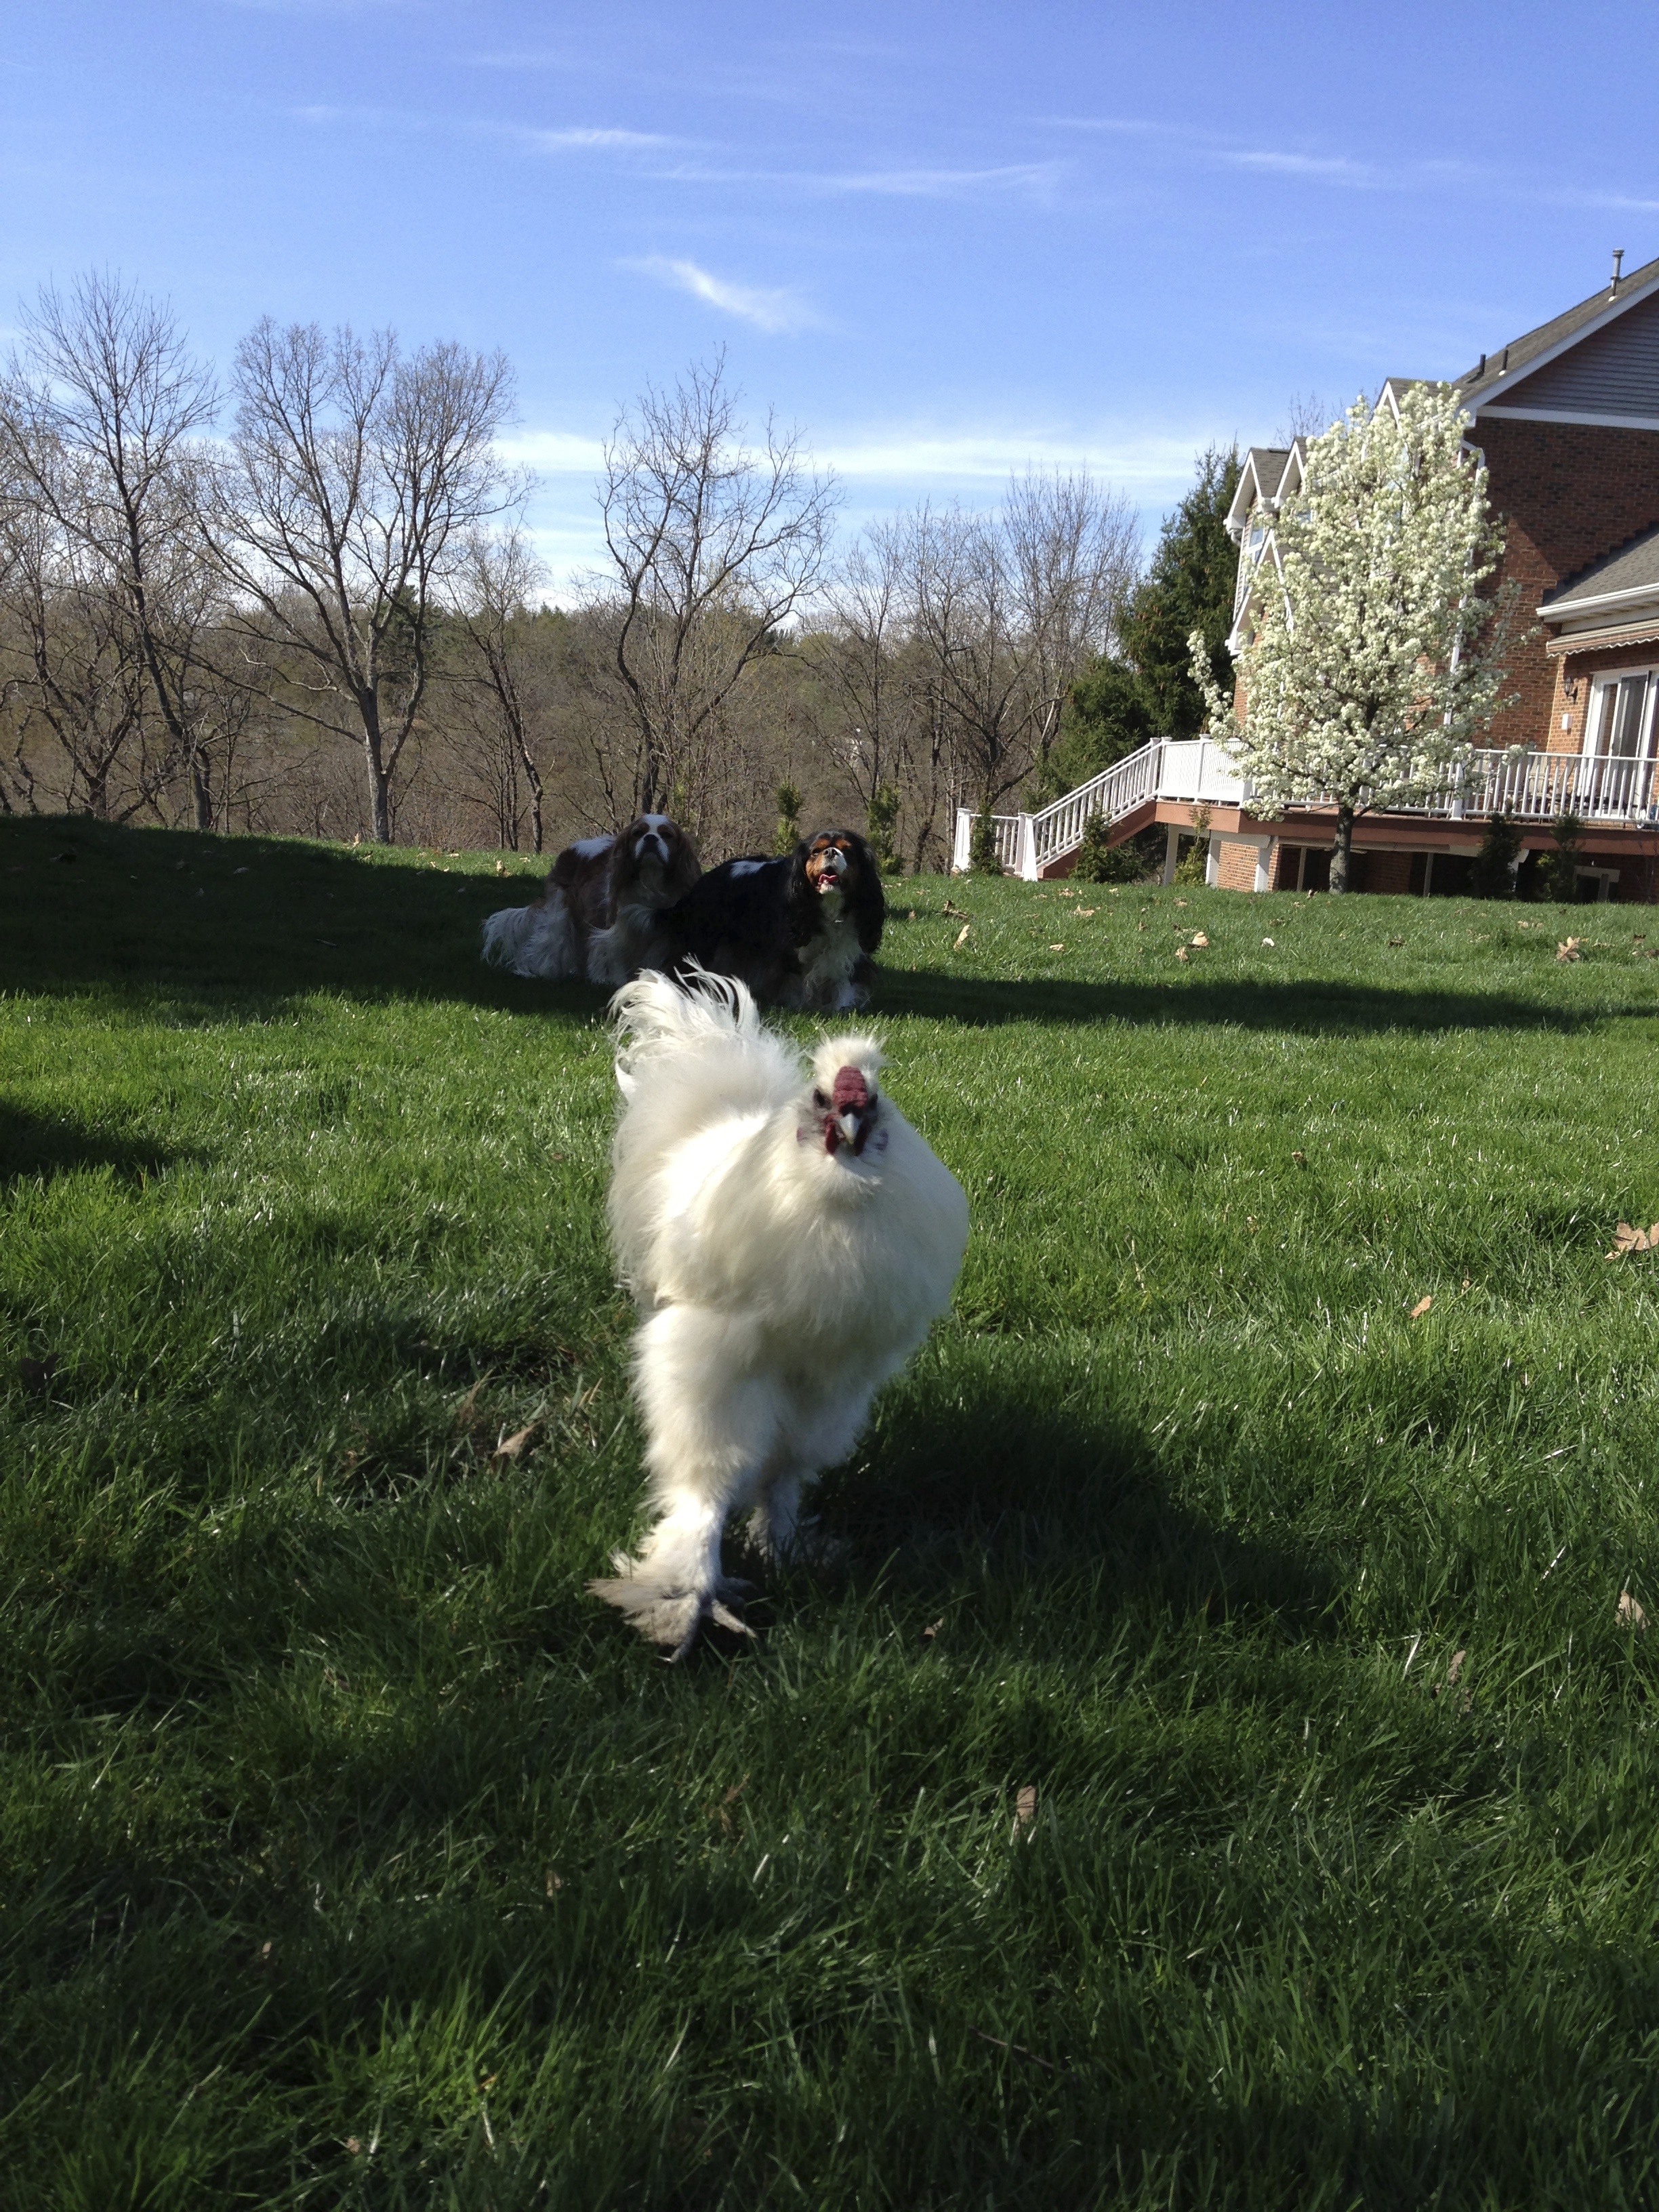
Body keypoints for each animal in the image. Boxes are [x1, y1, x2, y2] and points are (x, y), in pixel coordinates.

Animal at [481, 815, 700, 982]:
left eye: (667, 835)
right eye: (638, 833)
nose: (651, 838)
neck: (650, 881)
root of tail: (568, 851)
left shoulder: (660, 935)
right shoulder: (615, 931)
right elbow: (613, 955)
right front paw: (613, 982)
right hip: (560, 914)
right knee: (551, 942)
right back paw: (542, 972)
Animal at [647, 828, 885, 1010]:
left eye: (848, 851)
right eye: (816, 851)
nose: (831, 852)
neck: (827, 905)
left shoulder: (846, 947)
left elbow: (845, 977)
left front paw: (842, 1006)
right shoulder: (787, 951)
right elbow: (793, 979)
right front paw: (798, 1006)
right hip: (703, 940)